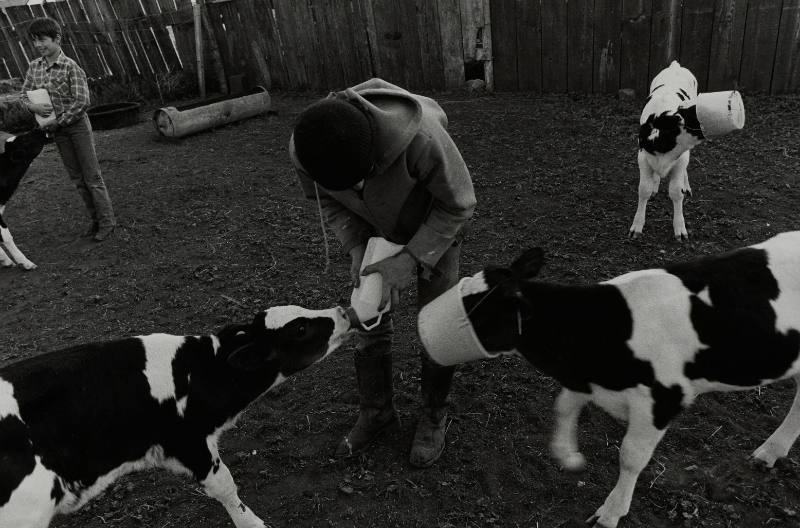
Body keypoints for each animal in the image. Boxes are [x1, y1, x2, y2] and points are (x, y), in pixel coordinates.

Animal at [0, 306, 356, 528]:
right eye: (300, 328)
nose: (342, 311)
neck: (201, 371)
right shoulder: (189, 443)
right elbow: (226, 487)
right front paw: (253, 523)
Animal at [418, 233, 800, 528]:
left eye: (477, 310)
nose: (422, 329)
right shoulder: (586, 377)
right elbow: (564, 406)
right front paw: (568, 454)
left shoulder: (663, 399)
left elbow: (631, 456)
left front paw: (612, 511)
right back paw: (770, 452)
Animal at [632, 61, 708, 239]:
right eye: (691, 118)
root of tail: (675, 66)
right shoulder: (643, 158)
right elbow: (643, 189)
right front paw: (637, 225)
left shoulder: (680, 160)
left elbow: (676, 192)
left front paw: (680, 228)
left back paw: (686, 186)